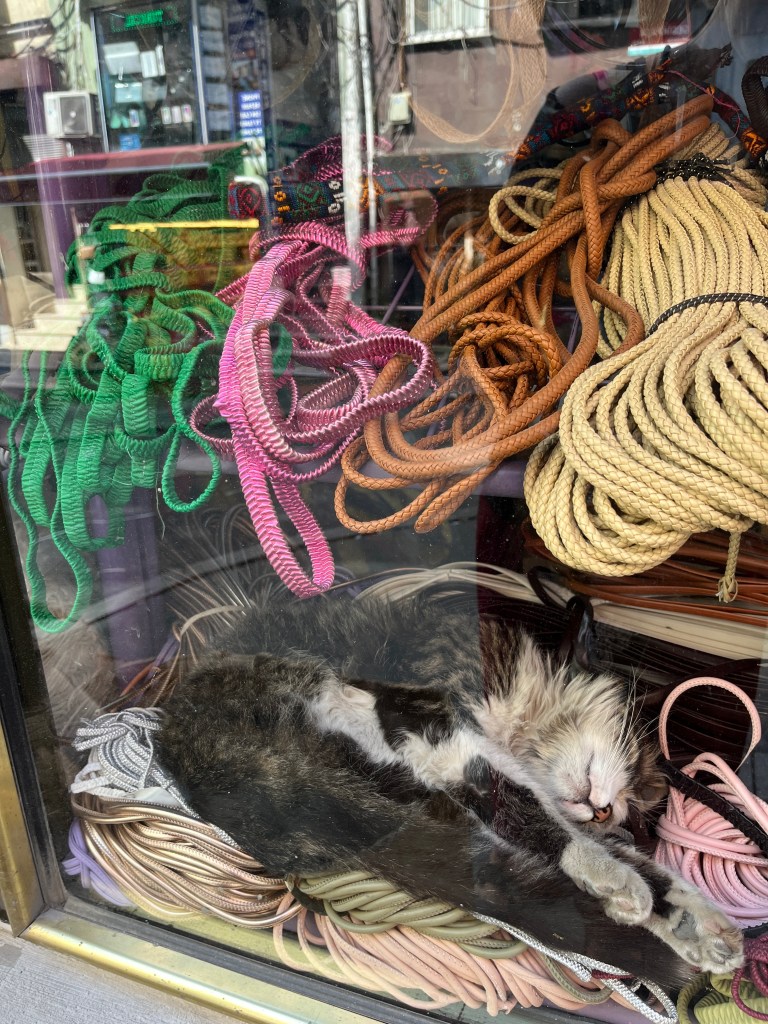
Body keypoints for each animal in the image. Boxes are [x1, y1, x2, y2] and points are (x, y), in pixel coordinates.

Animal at [155, 589, 744, 988]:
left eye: (633, 814)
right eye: (638, 771)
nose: (607, 813)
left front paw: (694, 924)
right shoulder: (440, 730)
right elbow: (530, 810)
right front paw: (615, 878)